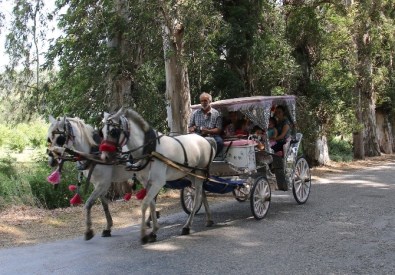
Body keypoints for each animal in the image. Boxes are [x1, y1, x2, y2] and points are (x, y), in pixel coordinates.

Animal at [100, 109, 217, 245]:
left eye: (113, 132)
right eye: (102, 132)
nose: (105, 157)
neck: (150, 150)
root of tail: (206, 139)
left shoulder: (158, 182)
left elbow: (145, 204)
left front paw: (144, 235)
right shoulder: (147, 182)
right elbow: (151, 204)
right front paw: (154, 231)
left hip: (199, 173)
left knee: (197, 198)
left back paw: (187, 226)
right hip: (191, 174)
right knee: (202, 193)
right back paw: (209, 219)